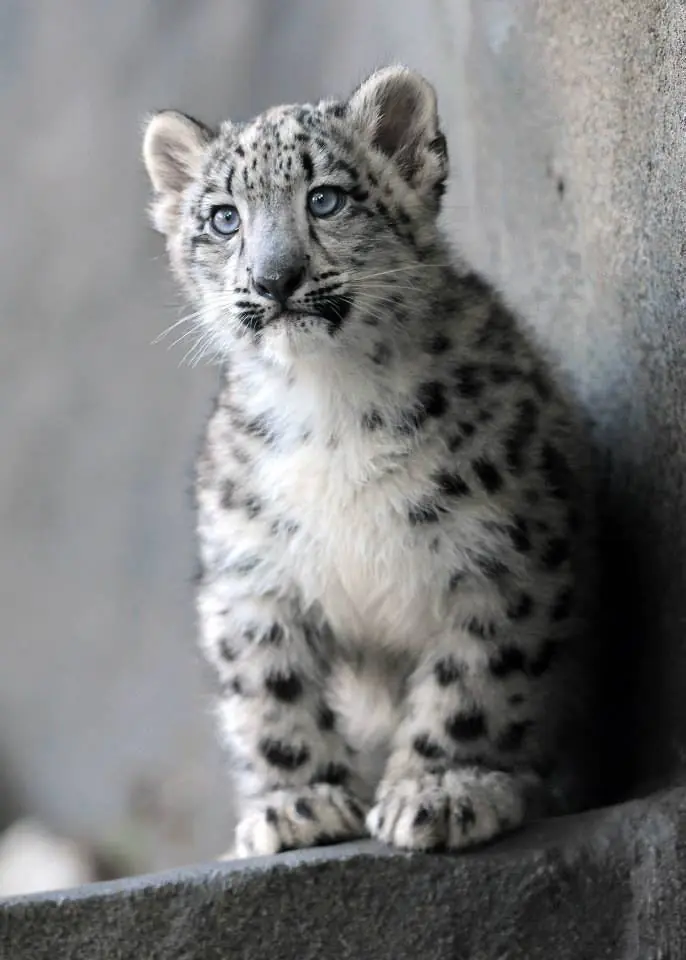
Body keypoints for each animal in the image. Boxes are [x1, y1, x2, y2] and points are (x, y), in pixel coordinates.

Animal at [142, 66, 596, 858]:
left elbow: (475, 678)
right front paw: (297, 804)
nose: (275, 278)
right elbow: (270, 690)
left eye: (325, 198)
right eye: (224, 218)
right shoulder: (251, 568)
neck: (331, 403)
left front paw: (441, 790)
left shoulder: (504, 552)